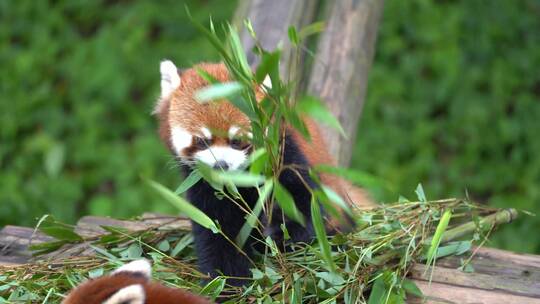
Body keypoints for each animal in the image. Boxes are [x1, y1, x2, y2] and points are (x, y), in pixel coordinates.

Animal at [152, 60, 374, 286]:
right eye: (202, 141)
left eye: (237, 140)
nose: (221, 165)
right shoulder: (204, 185)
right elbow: (218, 232)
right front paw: (228, 281)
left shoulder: (284, 155)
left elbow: (304, 203)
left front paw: (280, 234)